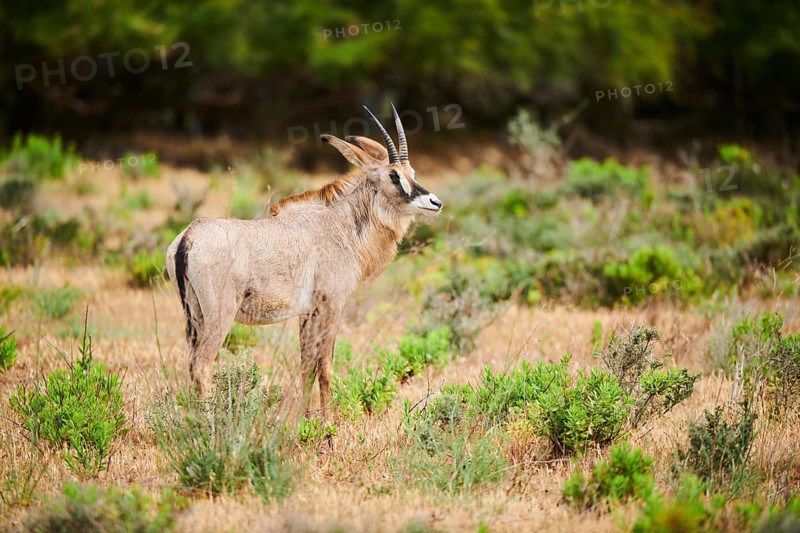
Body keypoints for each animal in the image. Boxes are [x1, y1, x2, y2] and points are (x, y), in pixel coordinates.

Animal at [166, 105, 443, 417]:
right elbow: (325, 366)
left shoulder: (307, 313)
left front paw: (305, 418)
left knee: (191, 364)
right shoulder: (331, 305)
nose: (435, 203)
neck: (339, 224)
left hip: (195, 316)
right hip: (220, 316)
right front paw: (329, 423)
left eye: (412, 172)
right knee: (202, 366)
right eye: (394, 175)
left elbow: (306, 366)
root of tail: (189, 237)